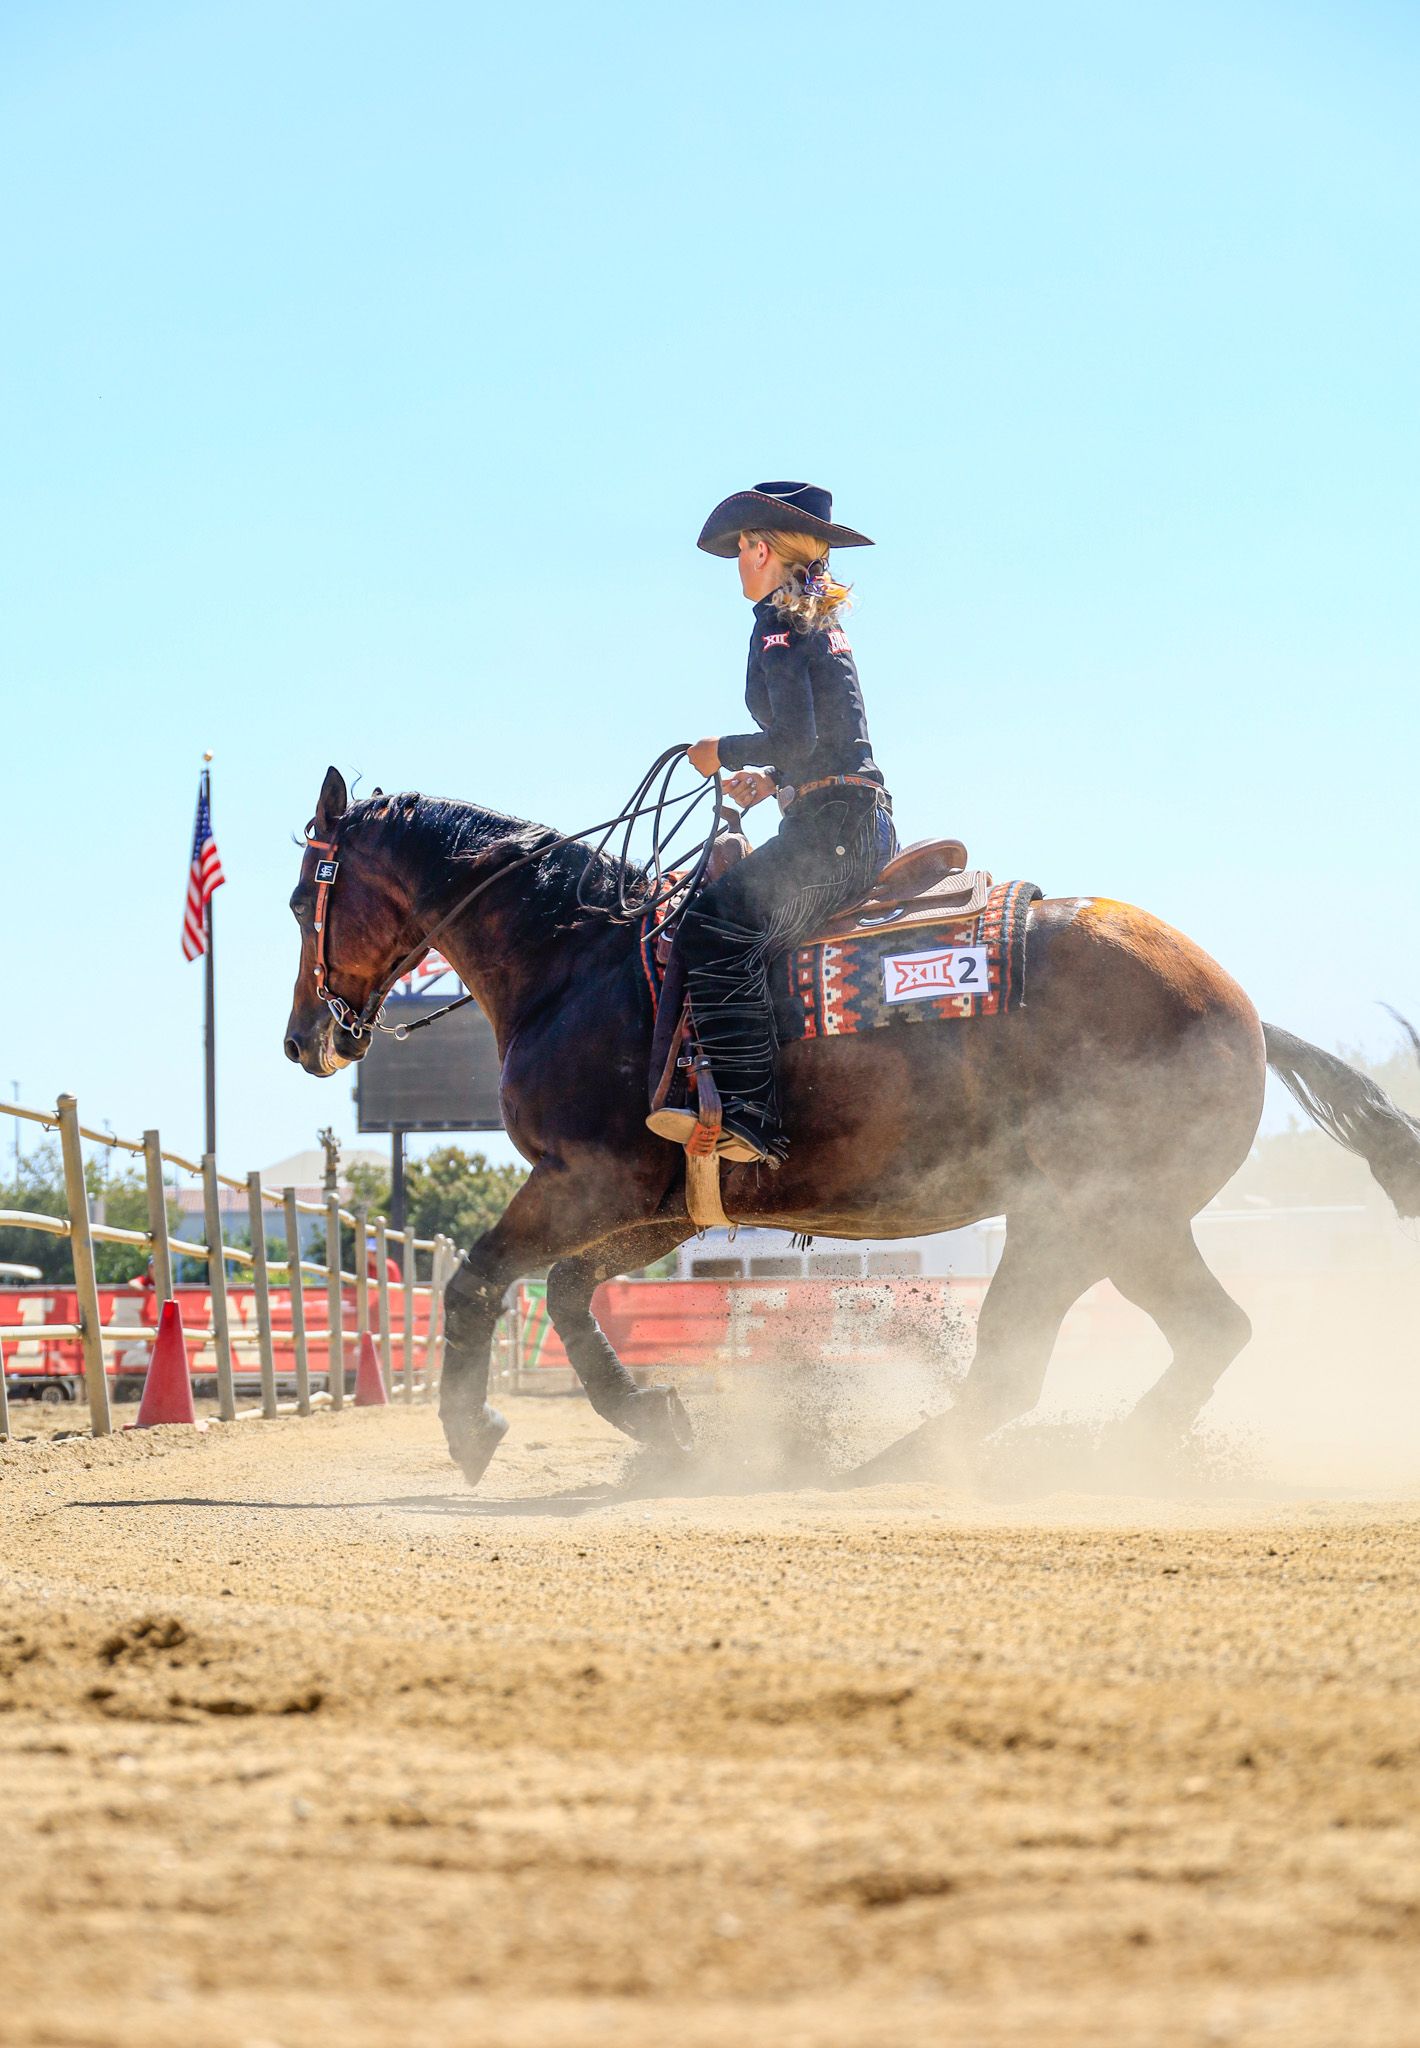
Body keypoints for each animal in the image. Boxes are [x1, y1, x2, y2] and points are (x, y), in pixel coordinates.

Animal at [284, 766, 1420, 1488]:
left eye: (303, 898)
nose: (305, 1038)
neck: (579, 958)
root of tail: (1245, 1014)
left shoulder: (584, 1180)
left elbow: (479, 1279)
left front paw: (471, 1428)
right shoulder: (658, 1202)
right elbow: (565, 1293)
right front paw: (660, 1422)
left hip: (1100, 1218)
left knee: (1116, 1348)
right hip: (1091, 1224)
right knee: (1113, 1351)